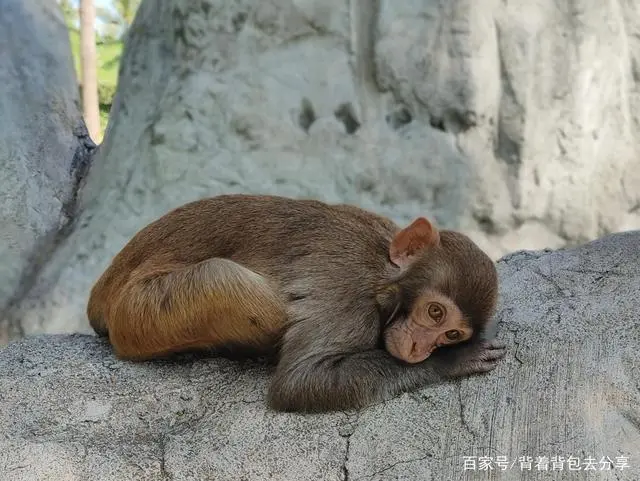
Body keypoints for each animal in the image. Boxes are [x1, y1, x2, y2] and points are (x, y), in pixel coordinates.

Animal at [87, 193, 504, 410]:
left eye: (450, 334)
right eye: (434, 312)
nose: (421, 349)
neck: (383, 268)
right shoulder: (348, 291)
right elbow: (300, 381)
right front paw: (452, 363)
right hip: (139, 314)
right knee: (226, 279)